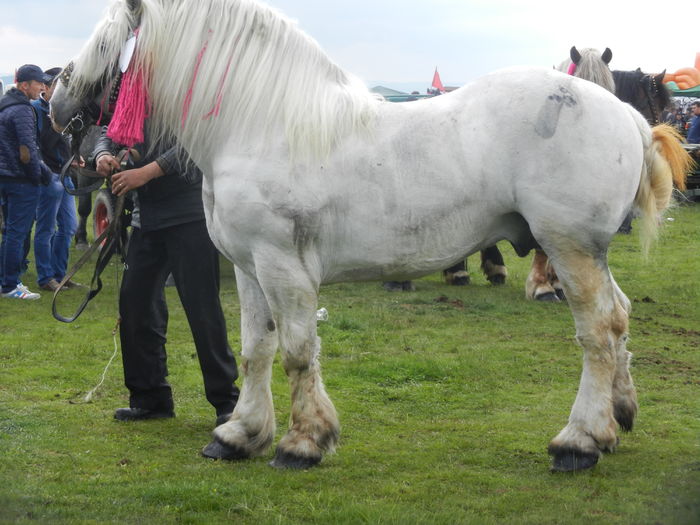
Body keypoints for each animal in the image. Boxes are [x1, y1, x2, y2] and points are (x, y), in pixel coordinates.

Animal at [50, 0, 688, 470]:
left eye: (108, 43)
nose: (57, 105)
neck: (262, 124)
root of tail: (625, 116)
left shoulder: (283, 267)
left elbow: (297, 352)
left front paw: (303, 443)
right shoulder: (250, 268)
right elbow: (255, 350)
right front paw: (239, 434)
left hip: (570, 248)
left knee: (599, 330)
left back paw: (577, 441)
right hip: (587, 252)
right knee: (620, 317)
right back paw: (616, 420)